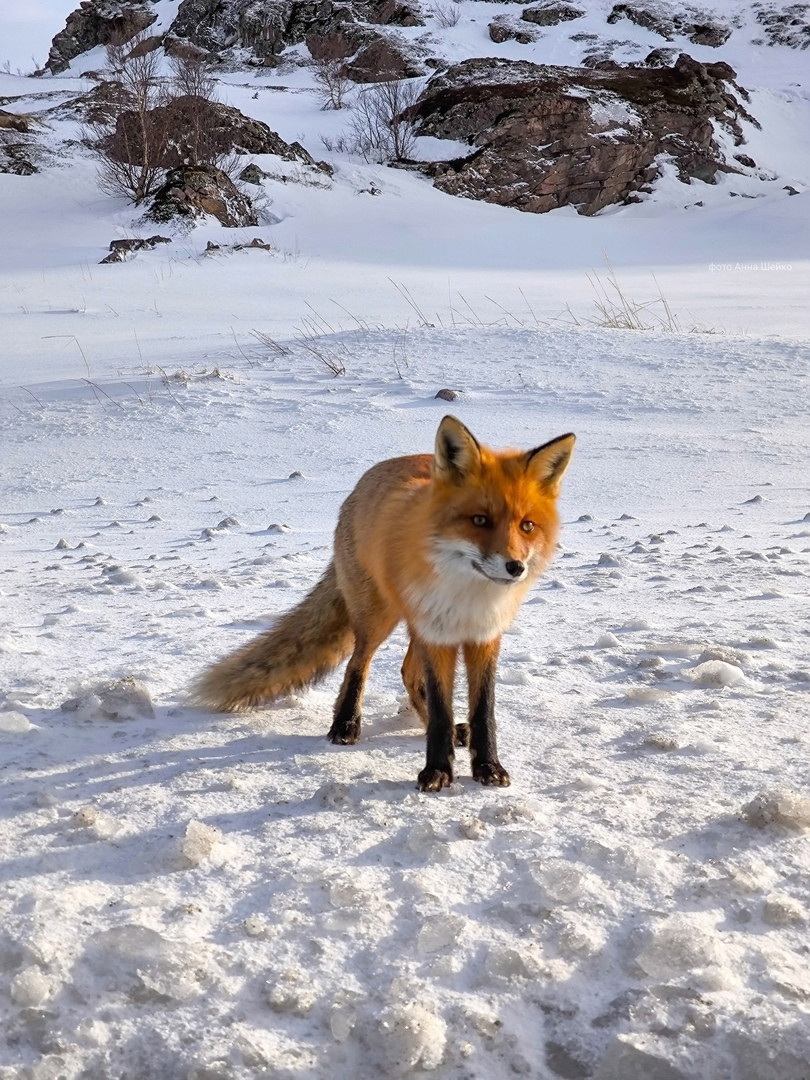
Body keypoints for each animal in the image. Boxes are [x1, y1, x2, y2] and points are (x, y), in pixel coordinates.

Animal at [195, 419, 578, 794]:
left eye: (527, 526)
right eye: (480, 520)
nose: (516, 567)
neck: (467, 595)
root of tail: (368, 478)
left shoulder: (484, 636)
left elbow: (484, 712)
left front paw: (488, 768)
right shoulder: (435, 634)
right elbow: (440, 710)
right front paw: (437, 771)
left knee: (408, 673)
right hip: (379, 617)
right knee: (358, 664)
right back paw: (346, 725)